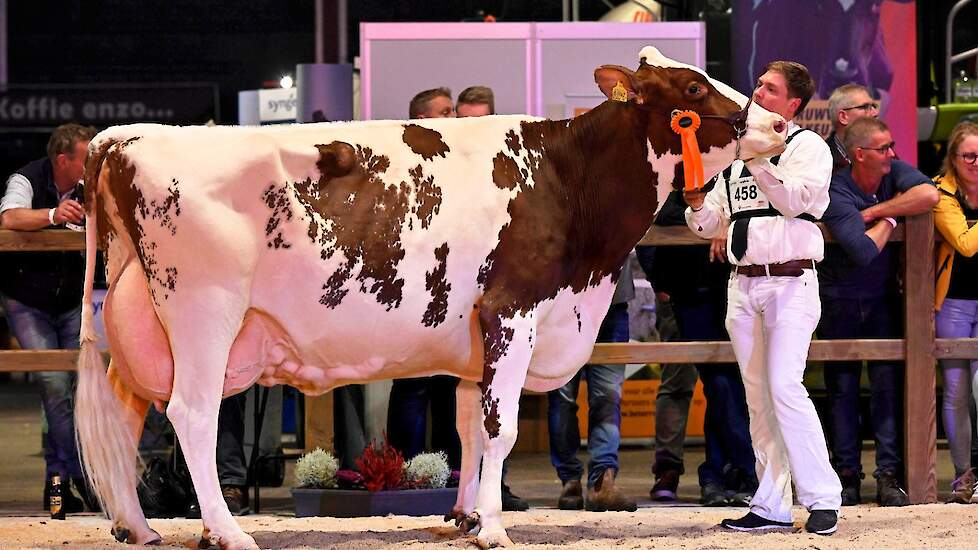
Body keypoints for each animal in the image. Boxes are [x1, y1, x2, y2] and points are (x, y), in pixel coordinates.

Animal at [74, 48, 784, 550]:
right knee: (191, 414)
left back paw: (138, 527)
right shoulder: (512, 311)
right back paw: (226, 531)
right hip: (203, 312)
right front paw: (493, 528)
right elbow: (499, 429)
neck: (564, 176)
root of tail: (125, 135)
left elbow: (470, 425)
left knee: (124, 414)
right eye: (692, 89)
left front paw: (466, 516)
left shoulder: (477, 338)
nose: (777, 122)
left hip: (138, 322)